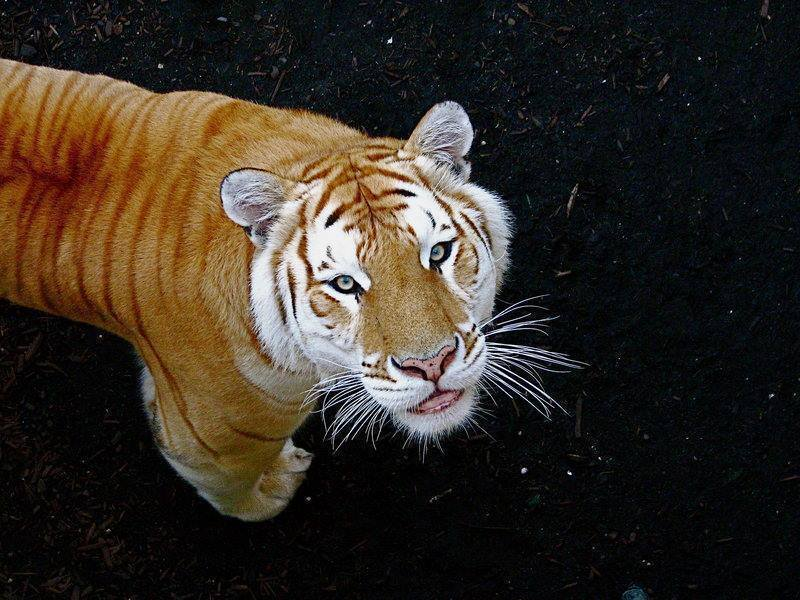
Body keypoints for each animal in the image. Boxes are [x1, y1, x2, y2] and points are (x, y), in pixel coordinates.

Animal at [0, 58, 515, 521]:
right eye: (345, 283)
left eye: (439, 253)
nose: (431, 364)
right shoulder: (206, 444)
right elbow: (232, 492)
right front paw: (271, 493)